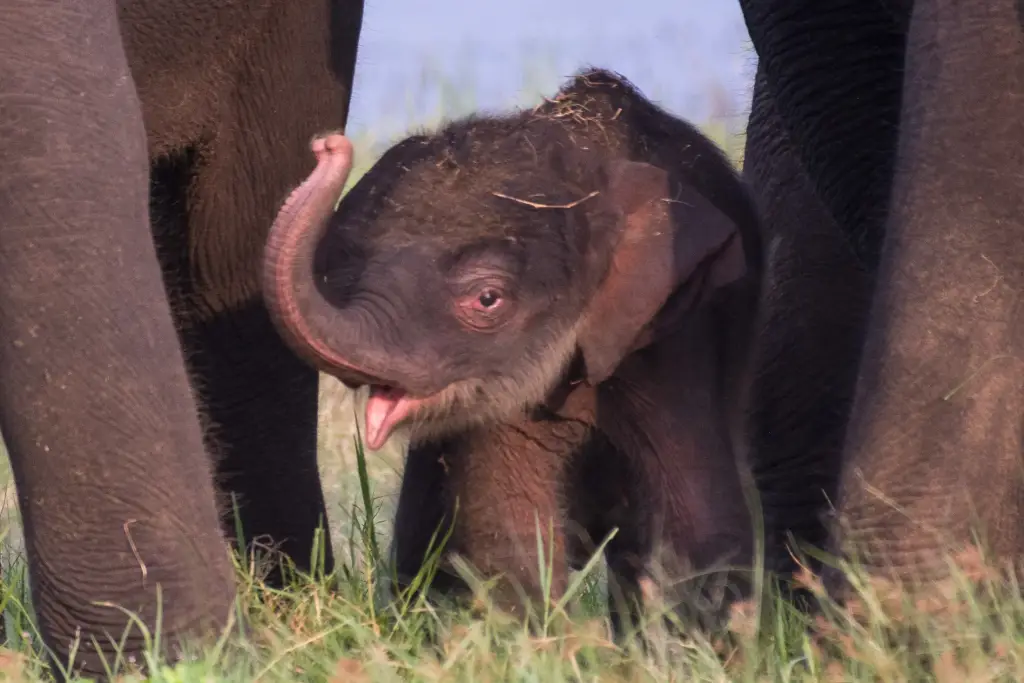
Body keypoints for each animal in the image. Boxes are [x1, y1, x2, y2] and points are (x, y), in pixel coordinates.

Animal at [260, 69, 763, 631]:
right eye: (345, 273)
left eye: (487, 299)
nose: (329, 144)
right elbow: (506, 521)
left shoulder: (674, 339)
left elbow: (695, 517)